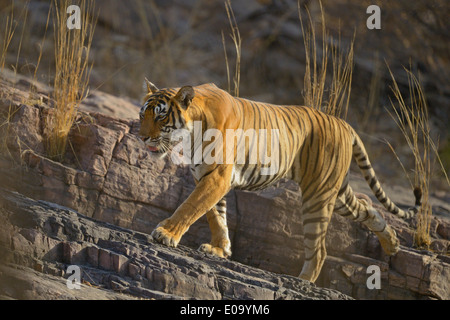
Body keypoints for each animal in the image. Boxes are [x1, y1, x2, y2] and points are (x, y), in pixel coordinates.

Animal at [138, 79, 422, 282]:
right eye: (143, 115)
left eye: (161, 116)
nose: (141, 137)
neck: (191, 132)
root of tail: (344, 123)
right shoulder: (207, 178)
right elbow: (215, 217)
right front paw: (220, 250)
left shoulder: (216, 178)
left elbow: (190, 207)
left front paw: (165, 234)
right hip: (336, 192)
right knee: (369, 209)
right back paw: (393, 243)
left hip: (317, 197)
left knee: (320, 249)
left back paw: (303, 281)